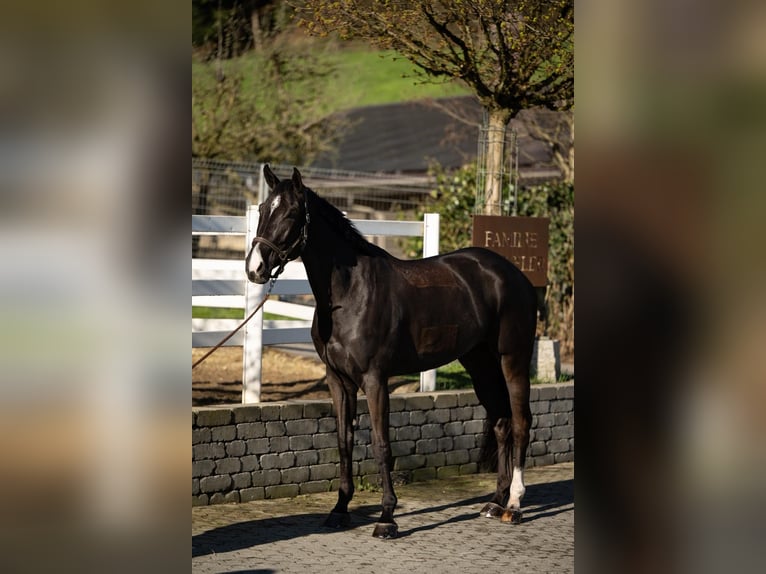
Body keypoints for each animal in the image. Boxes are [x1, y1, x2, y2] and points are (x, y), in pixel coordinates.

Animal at [246, 165, 537, 539]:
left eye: (292, 213)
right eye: (263, 209)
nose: (254, 268)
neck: (349, 294)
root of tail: (513, 274)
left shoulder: (375, 379)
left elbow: (381, 444)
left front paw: (387, 517)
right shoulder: (338, 381)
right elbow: (344, 442)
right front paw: (340, 509)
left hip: (512, 359)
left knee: (521, 421)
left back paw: (514, 504)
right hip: (479, 364)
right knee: (501, 421)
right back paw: (494, 502)